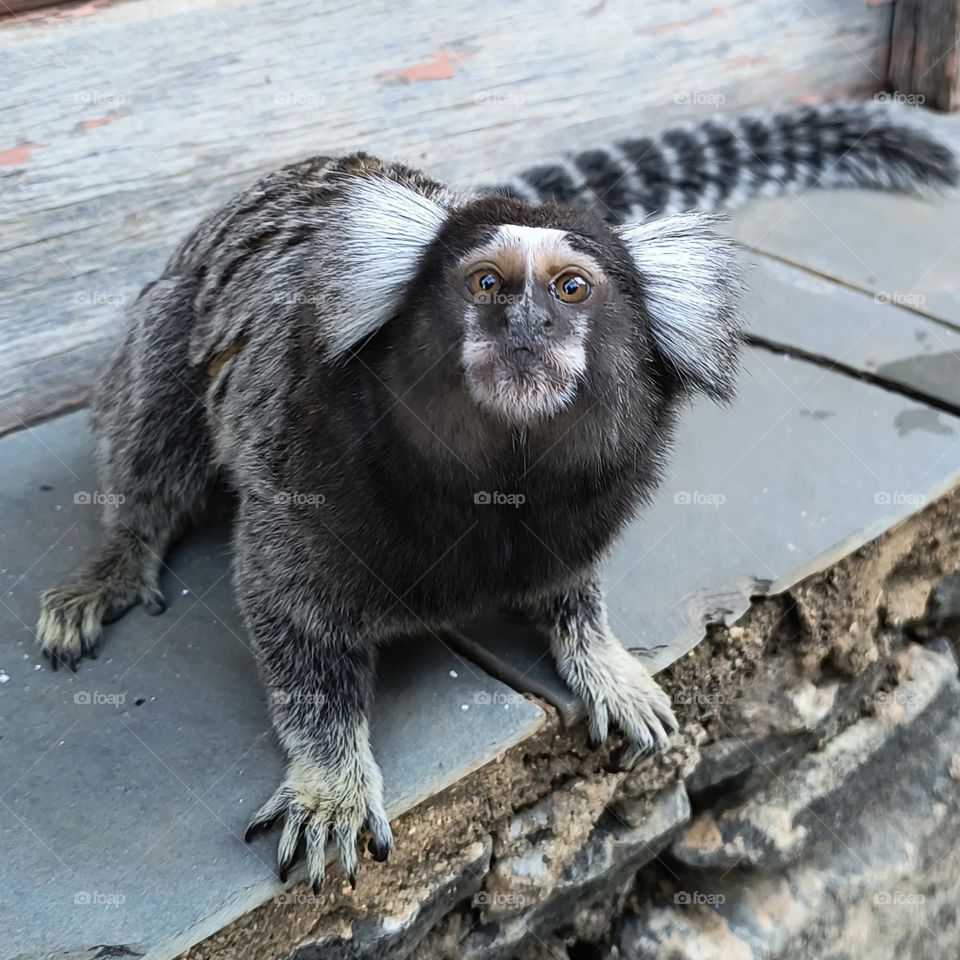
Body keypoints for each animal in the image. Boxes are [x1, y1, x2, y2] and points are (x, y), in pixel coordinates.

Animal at [35, 102, 957, 891]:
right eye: (486, 283)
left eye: (571, 289)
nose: (526, 325)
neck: (495, 478)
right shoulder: (301, 484)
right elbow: (290, 622)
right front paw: (332, 778)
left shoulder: (584, 507)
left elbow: (572, 585)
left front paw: (599, 657)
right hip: (168, 322)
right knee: (156, 414)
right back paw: (119, 554)